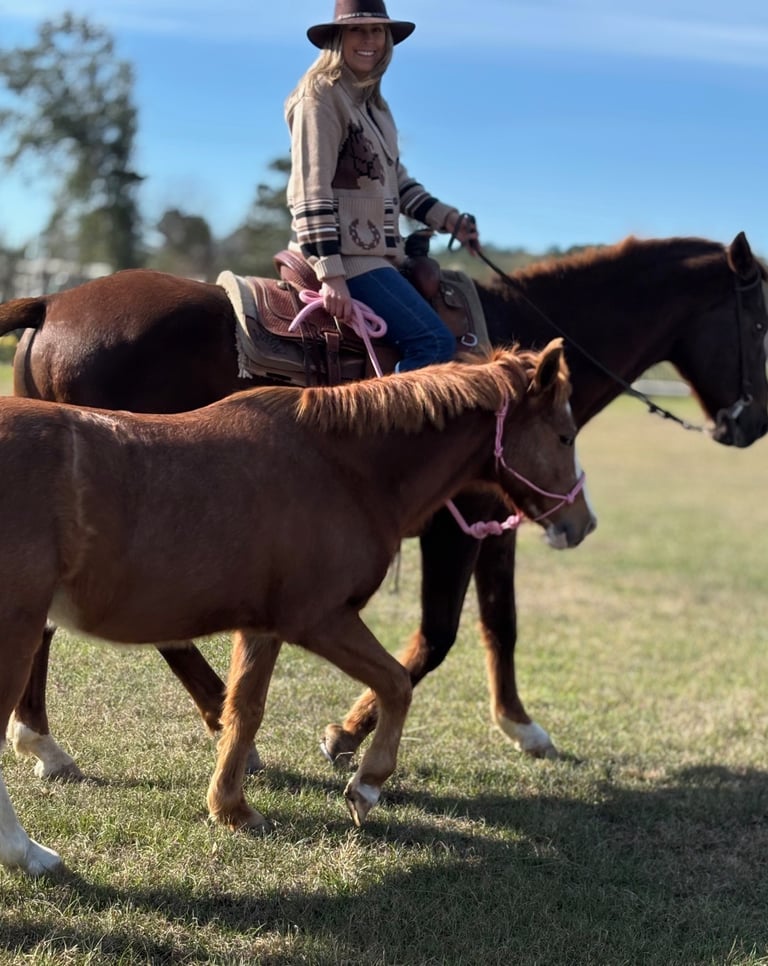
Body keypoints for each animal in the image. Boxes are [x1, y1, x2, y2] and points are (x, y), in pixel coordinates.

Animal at [0, 341, 595, 875]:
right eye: (564, 435)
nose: (582, 524)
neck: (341, 467)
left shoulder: (263, 628)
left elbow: (246, 709)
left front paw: (232, 808)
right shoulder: (321, 619)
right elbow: (397, 683)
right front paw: (366, 784)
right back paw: (26, 850)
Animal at [2, 232, 766, 780]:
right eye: (759, 324)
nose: (750, 425)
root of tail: (52, 303)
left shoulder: (499, 524)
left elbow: (501, 624)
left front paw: (521, 726)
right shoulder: (454, 529)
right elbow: (438, 635)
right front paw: (346, 732)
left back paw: (50, 737)